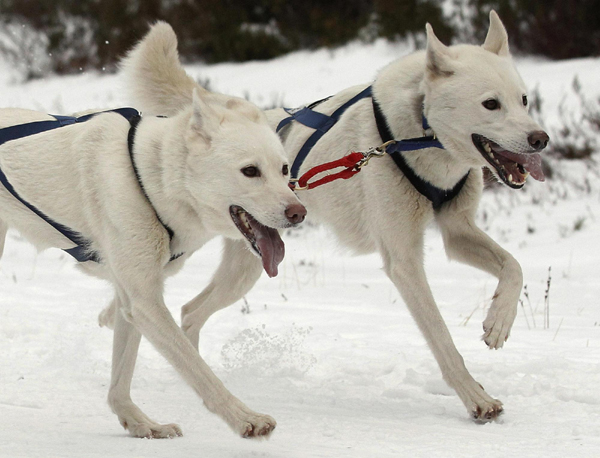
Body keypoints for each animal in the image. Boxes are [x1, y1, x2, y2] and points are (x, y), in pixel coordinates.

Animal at [0, 24, 308, 436]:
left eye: (284, 169)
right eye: (250, 171)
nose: (298, 212)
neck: (148, 178)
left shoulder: (133, 298)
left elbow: (120, 379)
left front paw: (139, 422)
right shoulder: (147, 302)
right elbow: (199, 371)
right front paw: (245, 417)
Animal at [127, 14, 548, 422]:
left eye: (524, 100)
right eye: (491, 104)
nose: (541, 138)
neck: (417, 134)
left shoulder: (457, 233)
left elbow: (514, 267)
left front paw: (499, 320)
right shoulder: (404, 261)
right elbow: (441, 337)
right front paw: (476, 398)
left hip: (244, 271)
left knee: (190, 312)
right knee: (186, 310)